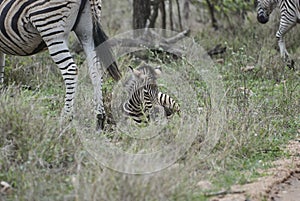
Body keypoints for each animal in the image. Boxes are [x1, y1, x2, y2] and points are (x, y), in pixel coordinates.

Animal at [0, 0, 122, 131]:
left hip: (51, 29)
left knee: (71, 70)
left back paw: (65, 120)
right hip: (87, 31)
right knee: (96, 69)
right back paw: (99, 120)